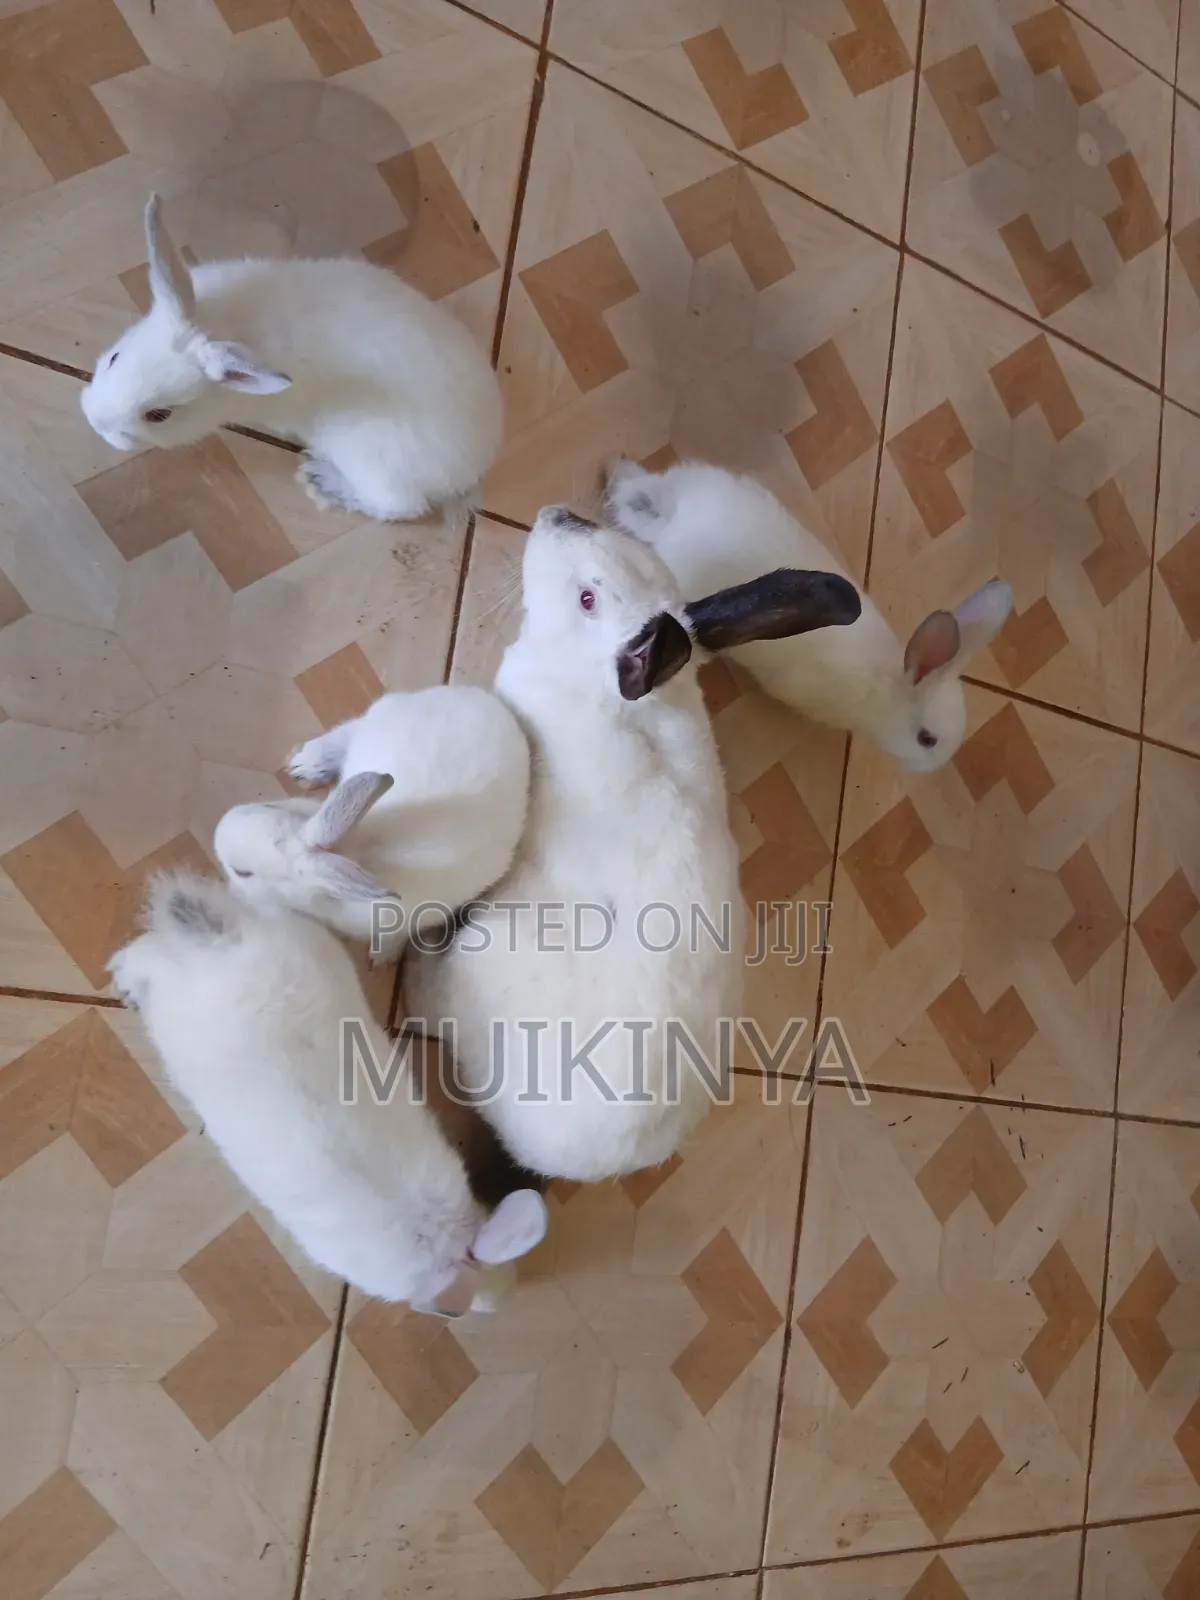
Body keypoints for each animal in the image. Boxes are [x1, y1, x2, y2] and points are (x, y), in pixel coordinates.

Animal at [80, 195, 503, 524]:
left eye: (159, 415)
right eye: (114, 357)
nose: (96, 423)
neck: (225, 323)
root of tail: (476, 465)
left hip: (373, 462)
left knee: (400, 508)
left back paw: (322, 482)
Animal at [110, 874, 547, 1316]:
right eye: (456, 1311)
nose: (497, 1305)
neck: (435, 1238)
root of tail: (223, 941)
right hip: (166, 1001)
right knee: (143, 959)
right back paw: (122, 982)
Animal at [213, 684, 530, 958]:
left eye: (242, 872)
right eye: (267, 803)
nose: (218, 829)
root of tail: (480, 698)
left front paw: (382, 956)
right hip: (379, 716)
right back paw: (305, 763)